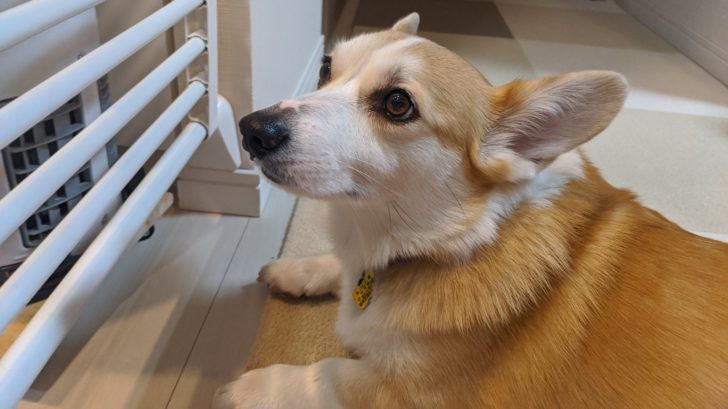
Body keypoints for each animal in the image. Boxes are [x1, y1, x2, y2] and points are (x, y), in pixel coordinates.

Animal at [214, 13, 728, 409]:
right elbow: (334, 265)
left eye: (397, 103)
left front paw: (253, 386)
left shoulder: (410, 392)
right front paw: (295, 270)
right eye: (325, 68)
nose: (252, 129)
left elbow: (327, 373)